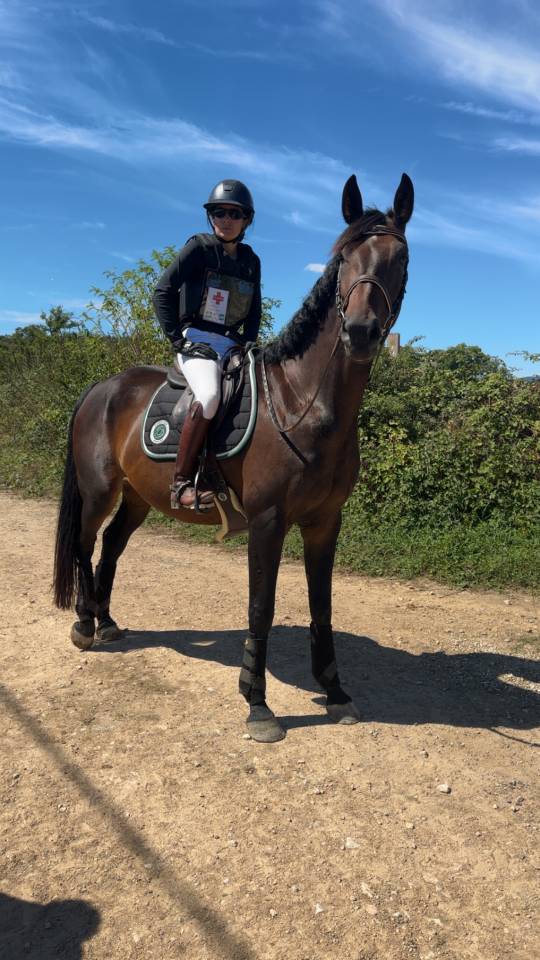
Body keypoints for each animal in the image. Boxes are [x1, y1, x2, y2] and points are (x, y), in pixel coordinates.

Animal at [53, 173, 414, 743]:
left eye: (399, 258)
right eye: (344, 258)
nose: (360, 332)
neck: (305, 404)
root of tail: (103, 387)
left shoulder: (324, 522)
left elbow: (323, 606)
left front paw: (335, 692)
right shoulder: (268, 521)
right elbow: (261, 607)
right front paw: (257, 704)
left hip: (138, 497)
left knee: (111, 545)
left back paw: (107, 623)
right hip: (97, 491)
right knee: (86, 544)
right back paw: (86, 625)